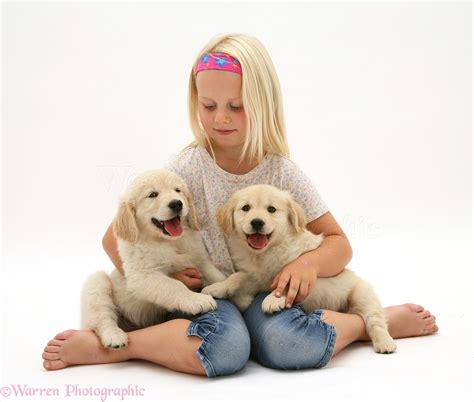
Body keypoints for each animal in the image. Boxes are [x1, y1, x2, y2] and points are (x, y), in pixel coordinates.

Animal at [80, 170, 227, 348]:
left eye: (178, 190)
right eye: (152, 195)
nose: (177, 204)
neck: (168, 242)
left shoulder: (200, 259)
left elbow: (215, 274)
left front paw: (225, 285)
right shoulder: (143, 276)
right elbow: (174, 285)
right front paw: (196, 299)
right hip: (97, 283)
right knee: (102, 318)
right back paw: (114, 336)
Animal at [203, 184, 396, 354]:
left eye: (271, 209)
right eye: (245, 208)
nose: (257, 222)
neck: (266, 253)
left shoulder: (309, 279)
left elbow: (288, 278)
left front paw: (273, 299)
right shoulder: (256, 277)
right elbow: (237, 277)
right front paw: (218, 287)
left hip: (362, 295)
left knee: (375, 321)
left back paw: (385, 343)